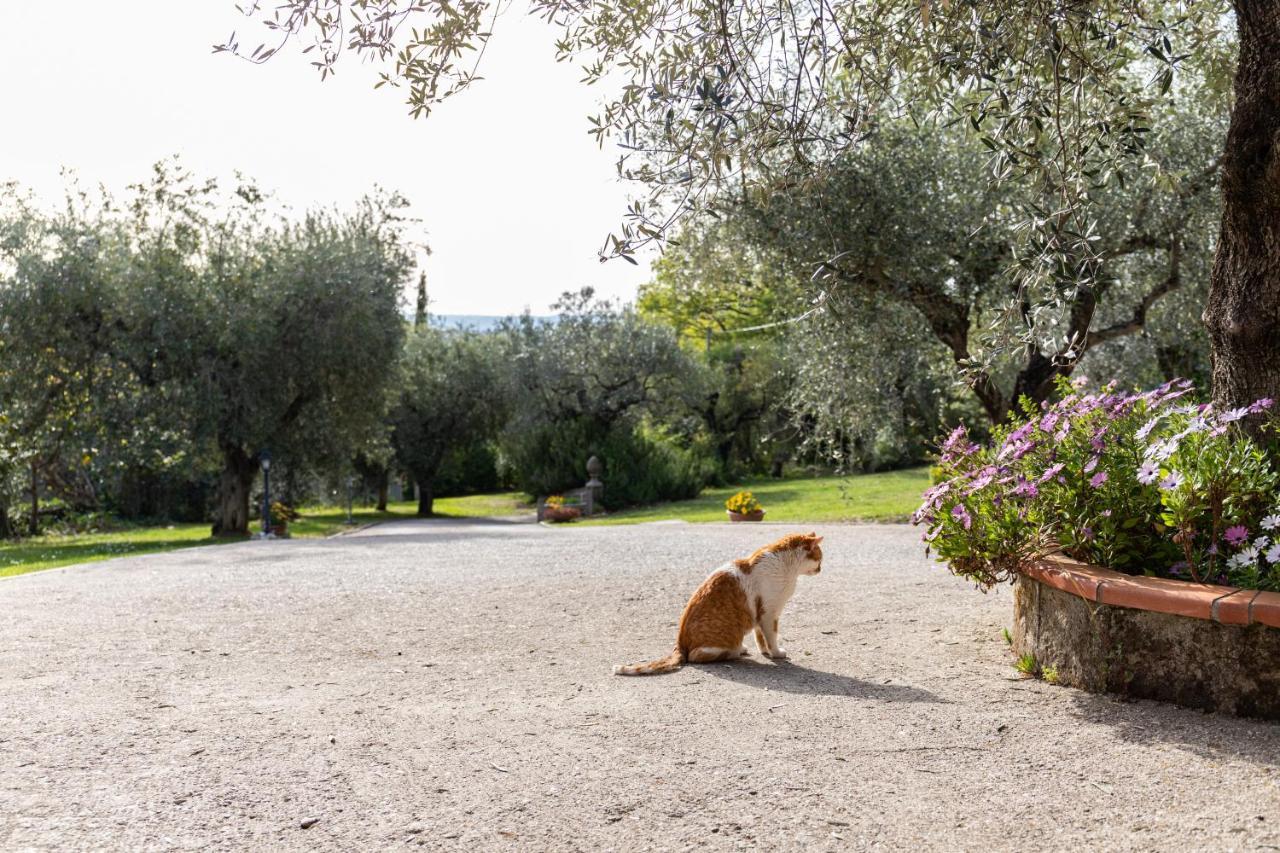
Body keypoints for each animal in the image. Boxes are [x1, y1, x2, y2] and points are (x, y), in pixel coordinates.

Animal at [611, 527, 829, 676]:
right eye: (820, 558)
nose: (820, 570)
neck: (786, 568)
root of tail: (680, 644)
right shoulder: (769, 613)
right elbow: (772, 636)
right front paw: (776, 652)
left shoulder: (760, 615)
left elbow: (760, 637)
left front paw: (765, 652)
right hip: (721, 641)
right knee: (698, 656)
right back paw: (736, 651)